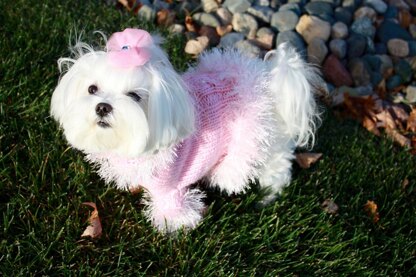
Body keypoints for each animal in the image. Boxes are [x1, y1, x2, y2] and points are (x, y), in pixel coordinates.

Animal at [49, 28, 322, 232]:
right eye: (92, 89)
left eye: (134, 96)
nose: (103, 107)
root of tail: (269, 82)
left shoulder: (169, 187)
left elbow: (172, 209)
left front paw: (173, 229)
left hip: (264, 144)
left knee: (277, 169)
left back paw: (267, 196)